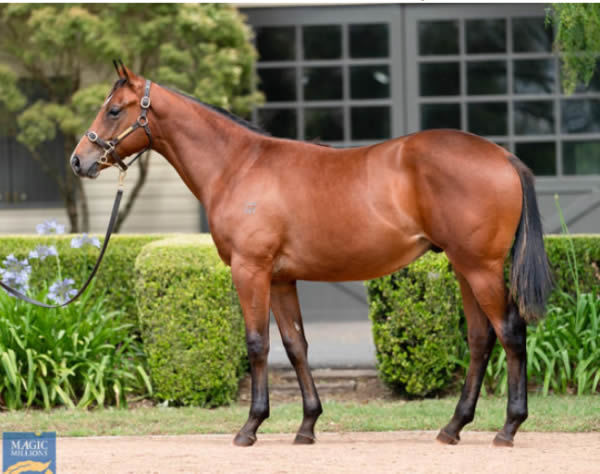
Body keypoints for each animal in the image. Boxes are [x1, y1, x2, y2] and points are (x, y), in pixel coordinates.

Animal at [71, 65, 552, 446]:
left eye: (114, 110)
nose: (80, 160)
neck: (238, 166)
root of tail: (503, 156)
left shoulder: (250, 271)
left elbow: (258, 344)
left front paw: (250, 427)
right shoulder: (282, 277)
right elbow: (296, 345)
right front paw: (307, 425)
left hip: (480, 268)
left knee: (510, 333)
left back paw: (508, 428)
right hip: (463, 268)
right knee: (480, 338)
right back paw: (453, 427)